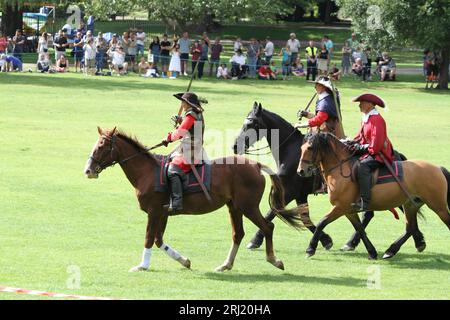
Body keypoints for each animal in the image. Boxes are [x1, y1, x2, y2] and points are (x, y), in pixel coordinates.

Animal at [84, 127, 302, 272]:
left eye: (101, 146)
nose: (88, 170)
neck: (146, 172)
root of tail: (255, 165)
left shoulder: (154, 212)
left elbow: (149, 238)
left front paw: (142, 265)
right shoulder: (163, 213)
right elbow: (158, 240)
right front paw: (184, 261)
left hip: (247, 207)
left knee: (267, 227)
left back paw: (274, 260)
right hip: (234, 207)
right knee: (238, 234)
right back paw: (226, 264)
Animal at [234, 104, 378, 251]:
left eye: (250, 124)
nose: (235, 146)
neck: (290, 150)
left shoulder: (289, 192)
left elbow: (273, 212)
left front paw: (255, 240)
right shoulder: (300, 195)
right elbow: (305, 218)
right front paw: (325, 240)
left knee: (366, 214)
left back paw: (352, 243)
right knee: (367, 214)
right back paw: (352, 242)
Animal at [298, 132, 450, 260]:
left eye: (310, 148)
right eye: (301, 148)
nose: (301, 171)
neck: (342, 169)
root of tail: (437, 168)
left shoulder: (340, 208)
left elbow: (321, 223)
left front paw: (310, 249)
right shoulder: (348, 210)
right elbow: (359, 228)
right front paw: (371, 252)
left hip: (437, 206)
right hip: (410, 205)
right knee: (410, 228)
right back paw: (392, 250)